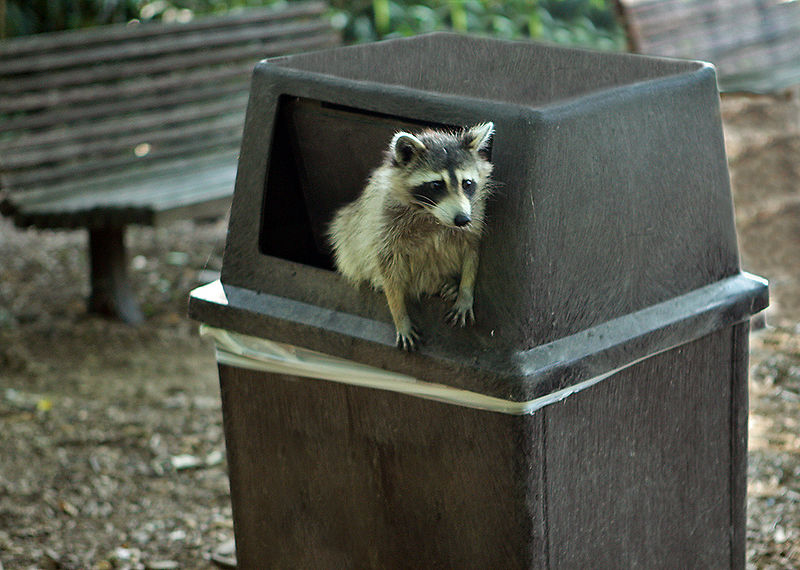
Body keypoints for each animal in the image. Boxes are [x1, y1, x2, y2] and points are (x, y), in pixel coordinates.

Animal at [328, 122, 495, 351]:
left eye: (467, 183)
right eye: (436, 185)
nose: (462, 219)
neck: (433, 216)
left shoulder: (475, 217)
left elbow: (472, 252)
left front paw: (465, 291)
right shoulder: (384, 224)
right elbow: (388, 269)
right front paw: (400, 315)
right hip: (349, 230)